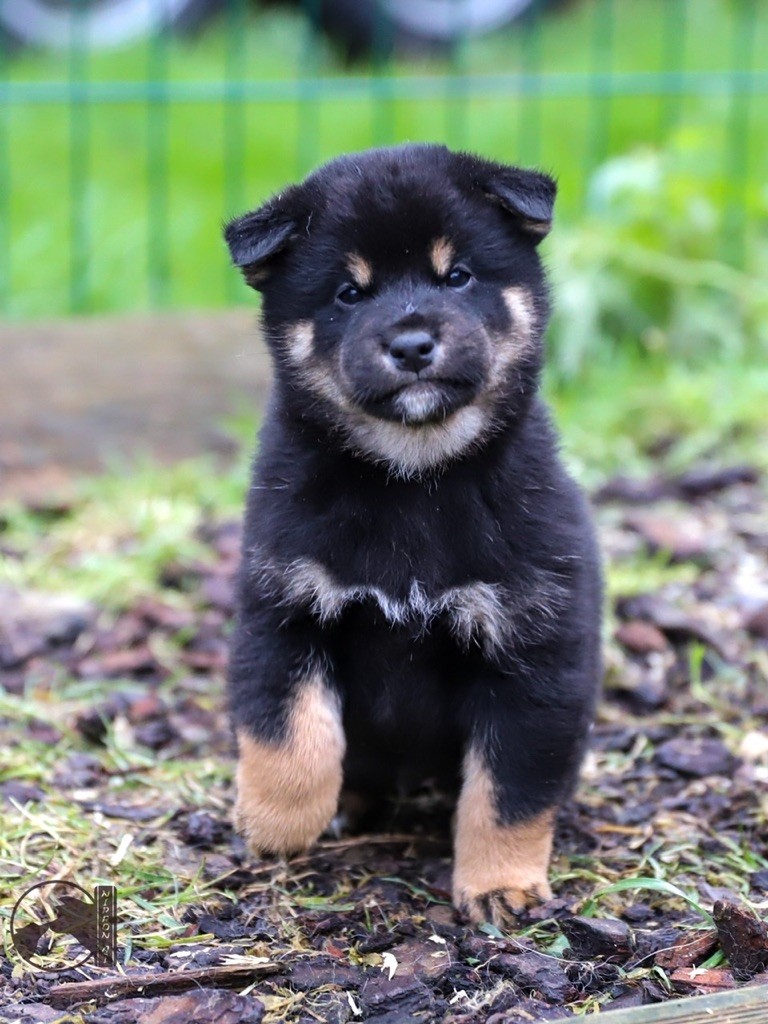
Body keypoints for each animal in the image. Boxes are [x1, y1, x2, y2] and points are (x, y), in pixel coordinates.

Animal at [224, 143, 602, 926]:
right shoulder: (283, 609)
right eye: (348, 293)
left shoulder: (533, 654)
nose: (411, 342)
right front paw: (276, 824)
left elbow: (508, 790)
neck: (412, 480)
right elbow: (289, 734)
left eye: (457, 275)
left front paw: (499, 886)